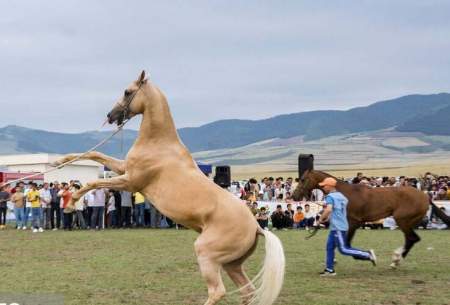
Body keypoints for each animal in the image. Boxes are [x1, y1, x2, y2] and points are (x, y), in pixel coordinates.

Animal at [53, 71, 284, 304]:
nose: (111, 115)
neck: (159, 143)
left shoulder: (131, 181)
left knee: (217, 291)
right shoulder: (123, 169)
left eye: (127, 91)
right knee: (248, 292)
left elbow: (93, 182)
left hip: (207, 255)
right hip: (232, 264)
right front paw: (60, 161)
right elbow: (95, 154)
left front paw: (71, 203)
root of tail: (256, 227)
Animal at [292, 170, 450, 268]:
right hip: (407, 222)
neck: (346, 194)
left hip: (402, 220)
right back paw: (396, 260)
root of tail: (426, 196)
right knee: (411, 239)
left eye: (303, 179)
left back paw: (396, 260)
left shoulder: (354, 222)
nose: (294, 196)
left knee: (412, 238)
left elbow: (346, 244)